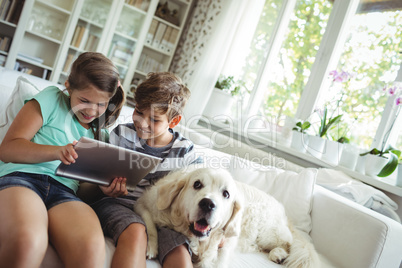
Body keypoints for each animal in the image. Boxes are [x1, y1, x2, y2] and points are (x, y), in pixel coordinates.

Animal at [134, 166, 320, 266]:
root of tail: (284, 213)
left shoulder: (228, 241)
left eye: (226, 194)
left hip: (267, 232)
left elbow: (219, 258)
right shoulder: (143, 204)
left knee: (288, 243)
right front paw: (151, 247)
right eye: (197, 184)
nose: (208, 204)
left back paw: (279, 254)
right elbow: (150, 225)